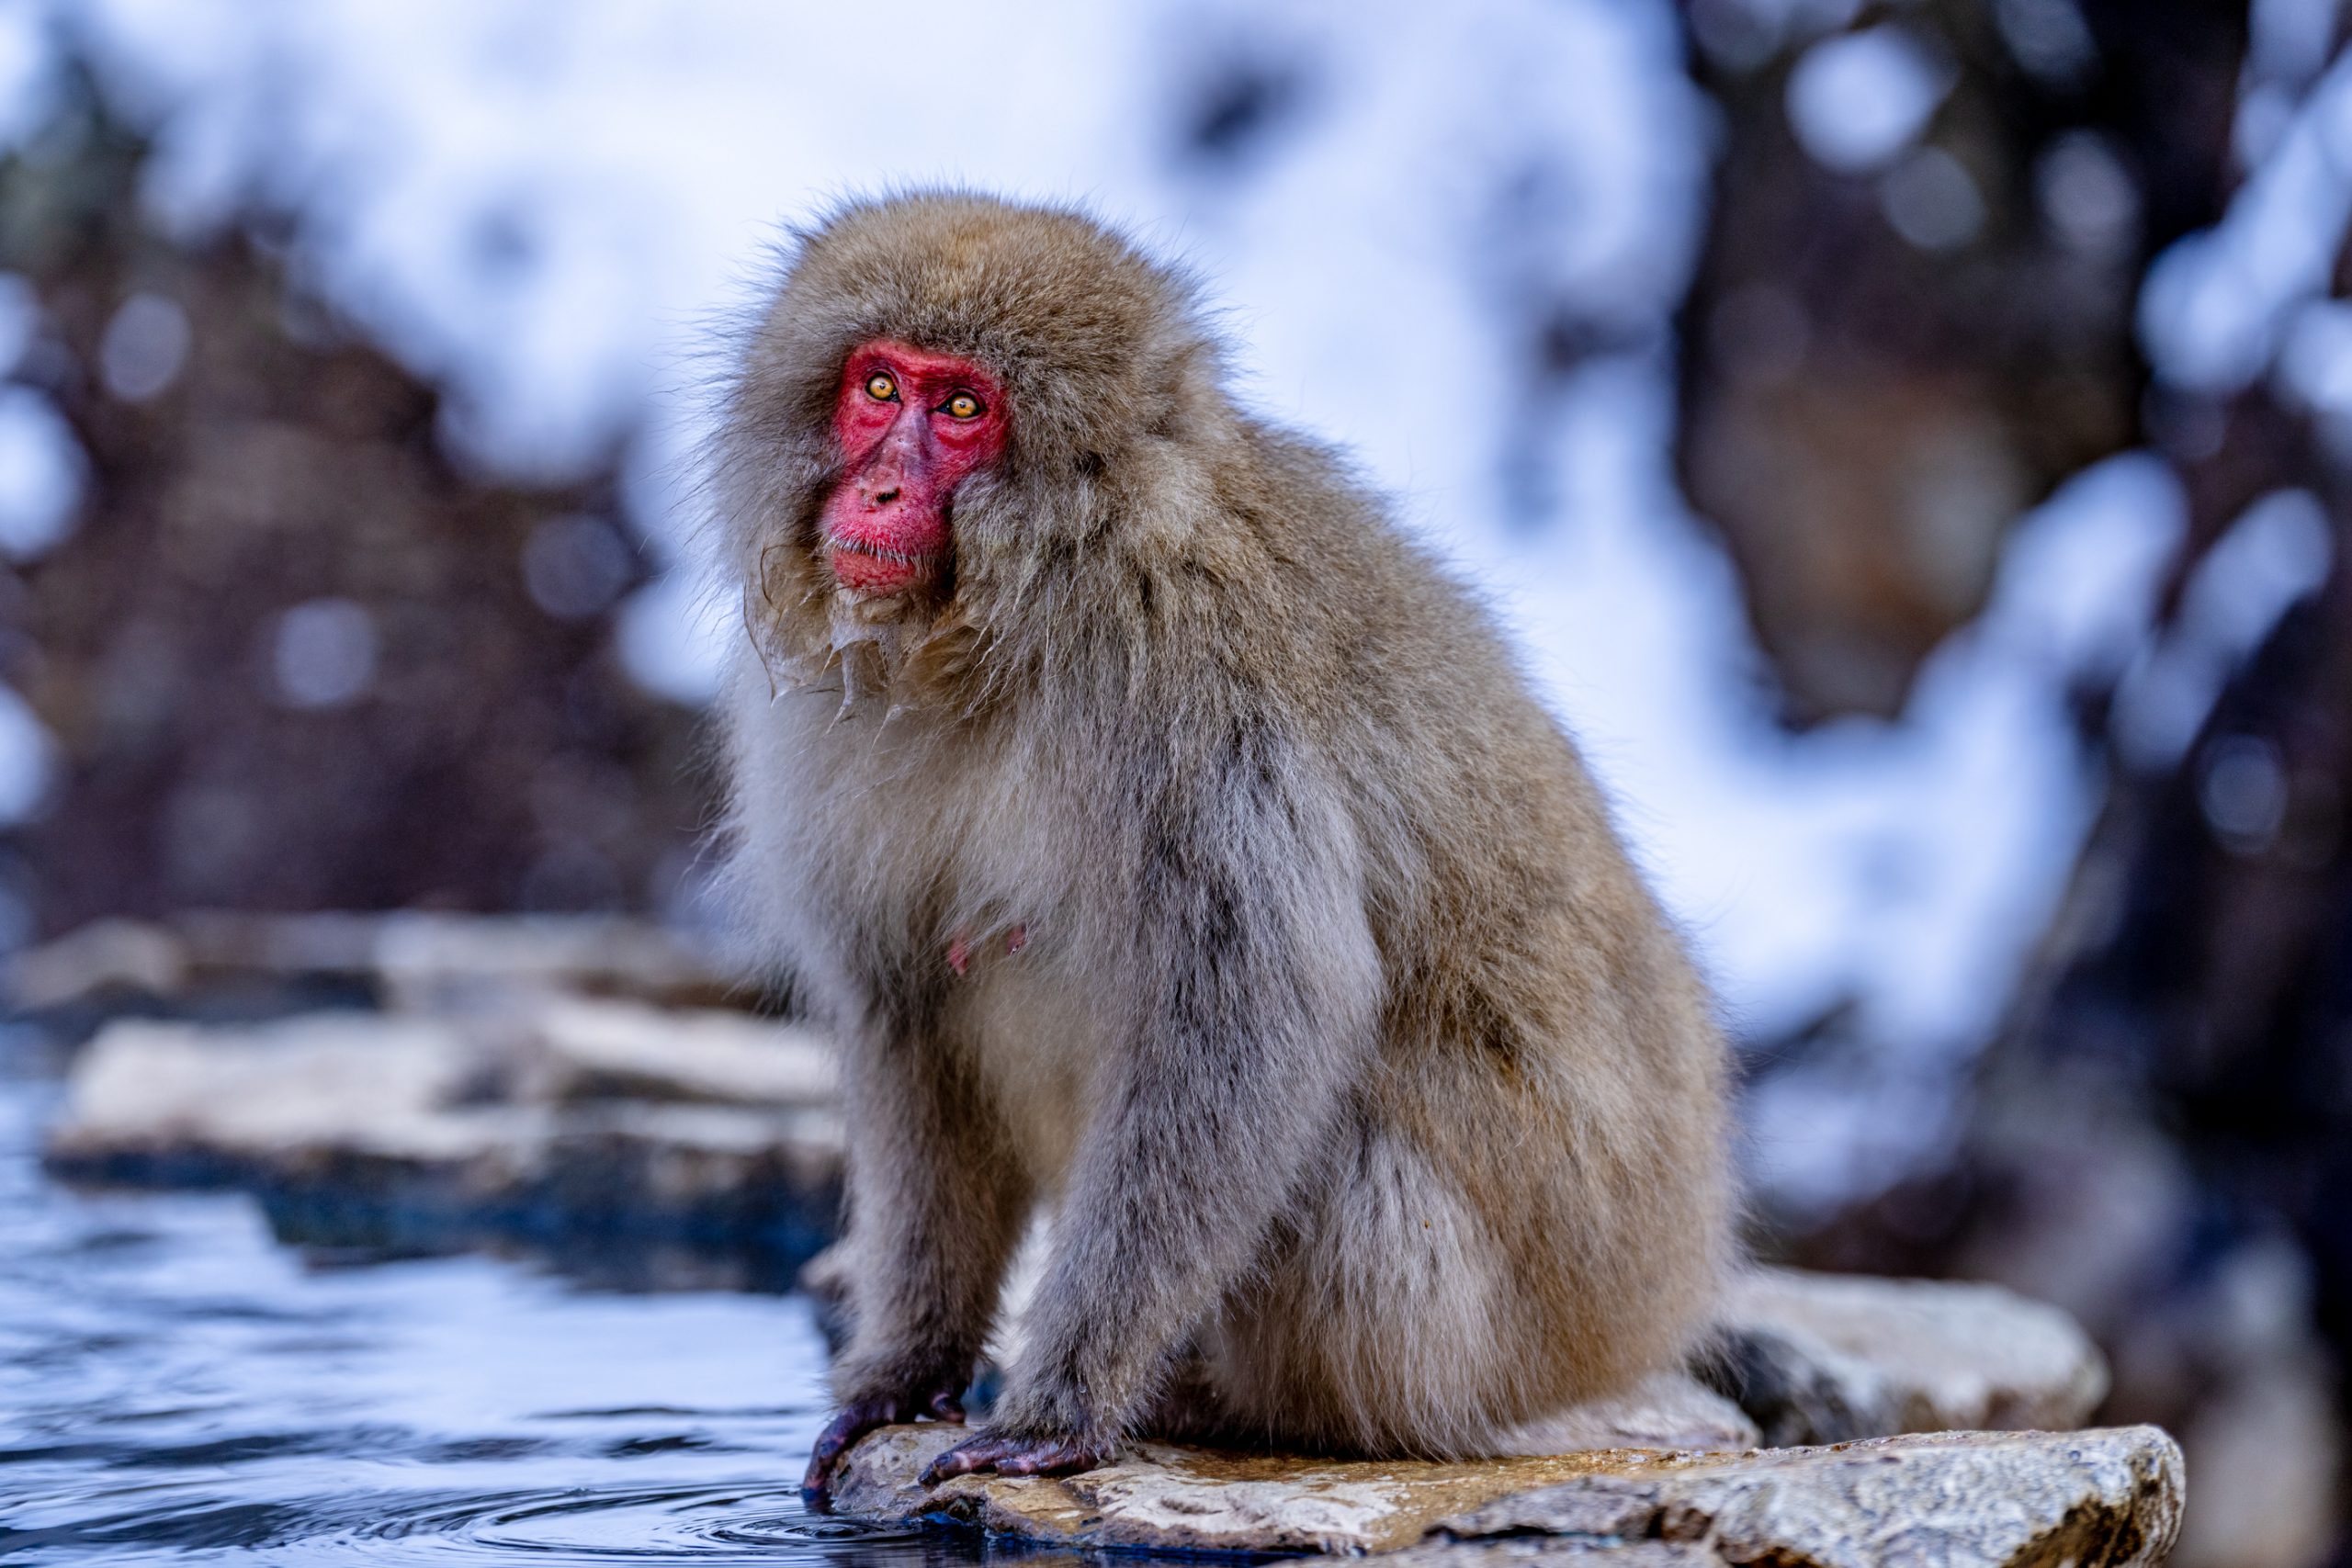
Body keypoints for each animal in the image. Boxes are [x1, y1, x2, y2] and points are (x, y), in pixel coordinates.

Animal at [707, 193, 1734, 1510]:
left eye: (963, 409)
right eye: (878, 386)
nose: (879, 492)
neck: (1012, 626)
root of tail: (1648, 1305)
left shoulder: (1188, 694)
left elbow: (1248, 1021)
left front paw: (1063, 1405)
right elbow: (908, 1023)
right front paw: (906, 1369)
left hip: (1494, 1329)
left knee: (1337, 1146)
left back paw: (1239, 1401)